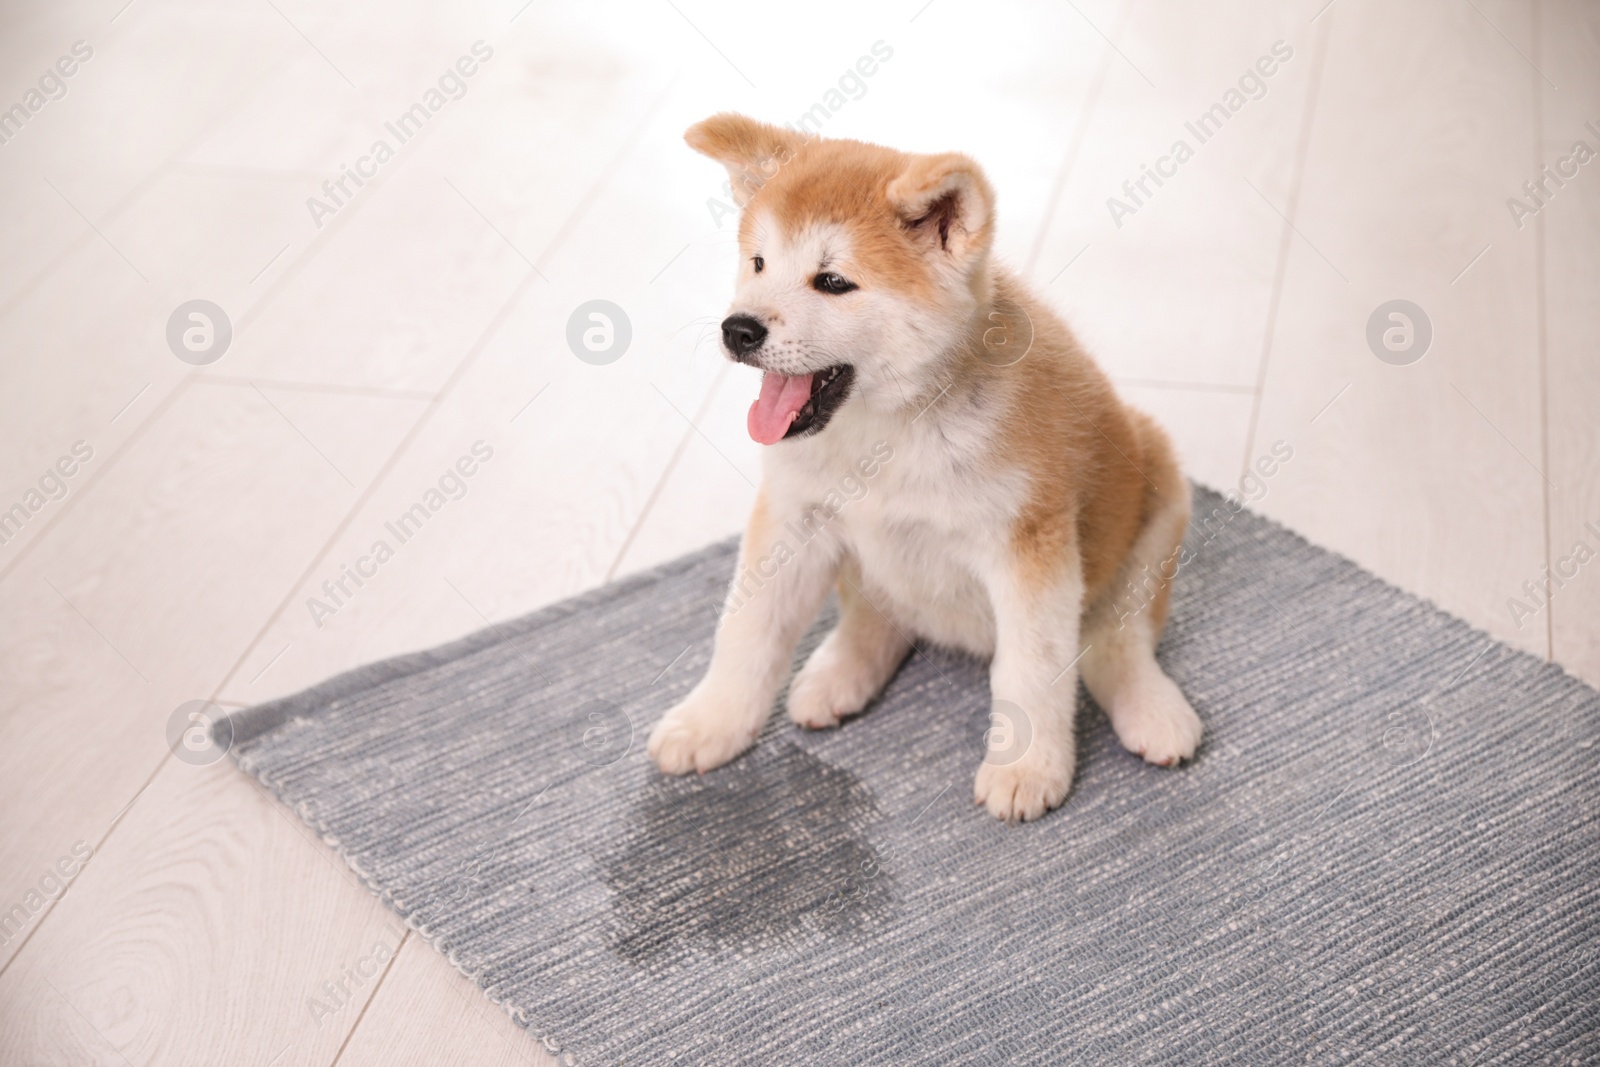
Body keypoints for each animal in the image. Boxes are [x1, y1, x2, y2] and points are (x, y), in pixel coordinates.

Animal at [649, 112, 1203, 825]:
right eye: (759, 262)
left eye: (833, 282)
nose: (737, 329)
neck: (888, 431)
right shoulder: (792, 520)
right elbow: (747, 634)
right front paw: (712, 722)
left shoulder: (1030, 546)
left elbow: (1031, 669)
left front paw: (1027, 767)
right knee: (876, 612)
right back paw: (837, 672)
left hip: (1157, 488)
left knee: (1116, 637)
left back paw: (1149, 706)